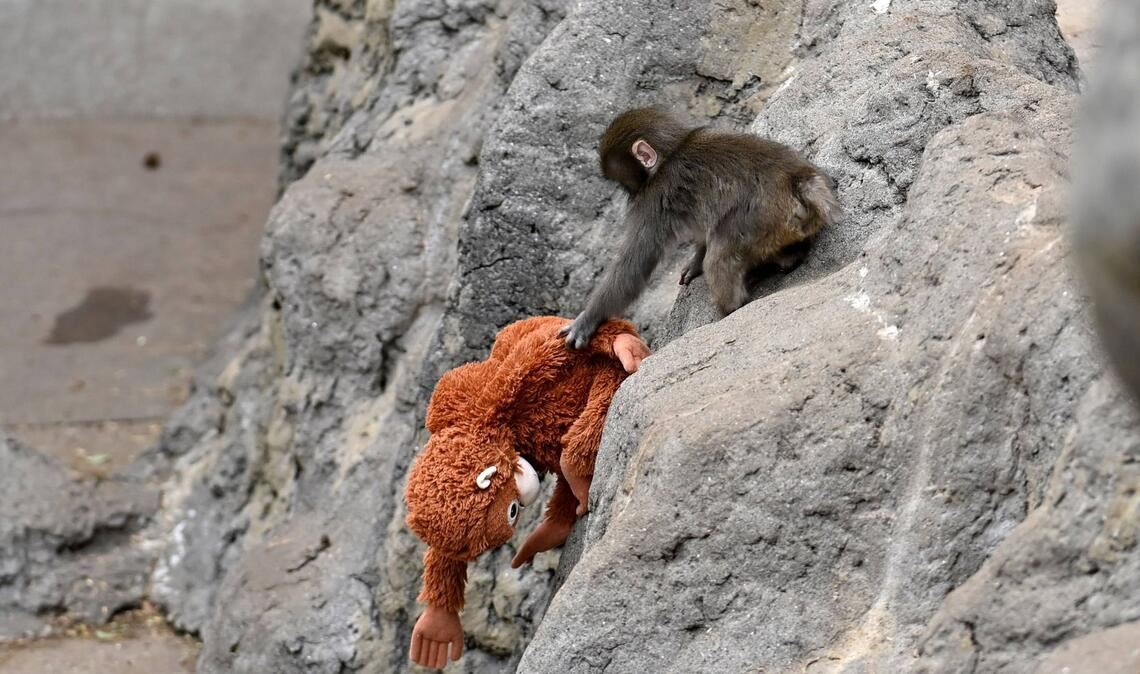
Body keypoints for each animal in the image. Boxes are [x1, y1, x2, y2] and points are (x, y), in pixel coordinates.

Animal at [561, 107, 842, 349]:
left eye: (624, 184)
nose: (629, 196)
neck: (673, 150)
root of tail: (799, 181)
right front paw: (694, 262)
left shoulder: (653, 199)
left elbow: (635, 263)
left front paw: (588, 318)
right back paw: (789, 257)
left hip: (758, 221)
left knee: (719, 258)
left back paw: (730, 306)